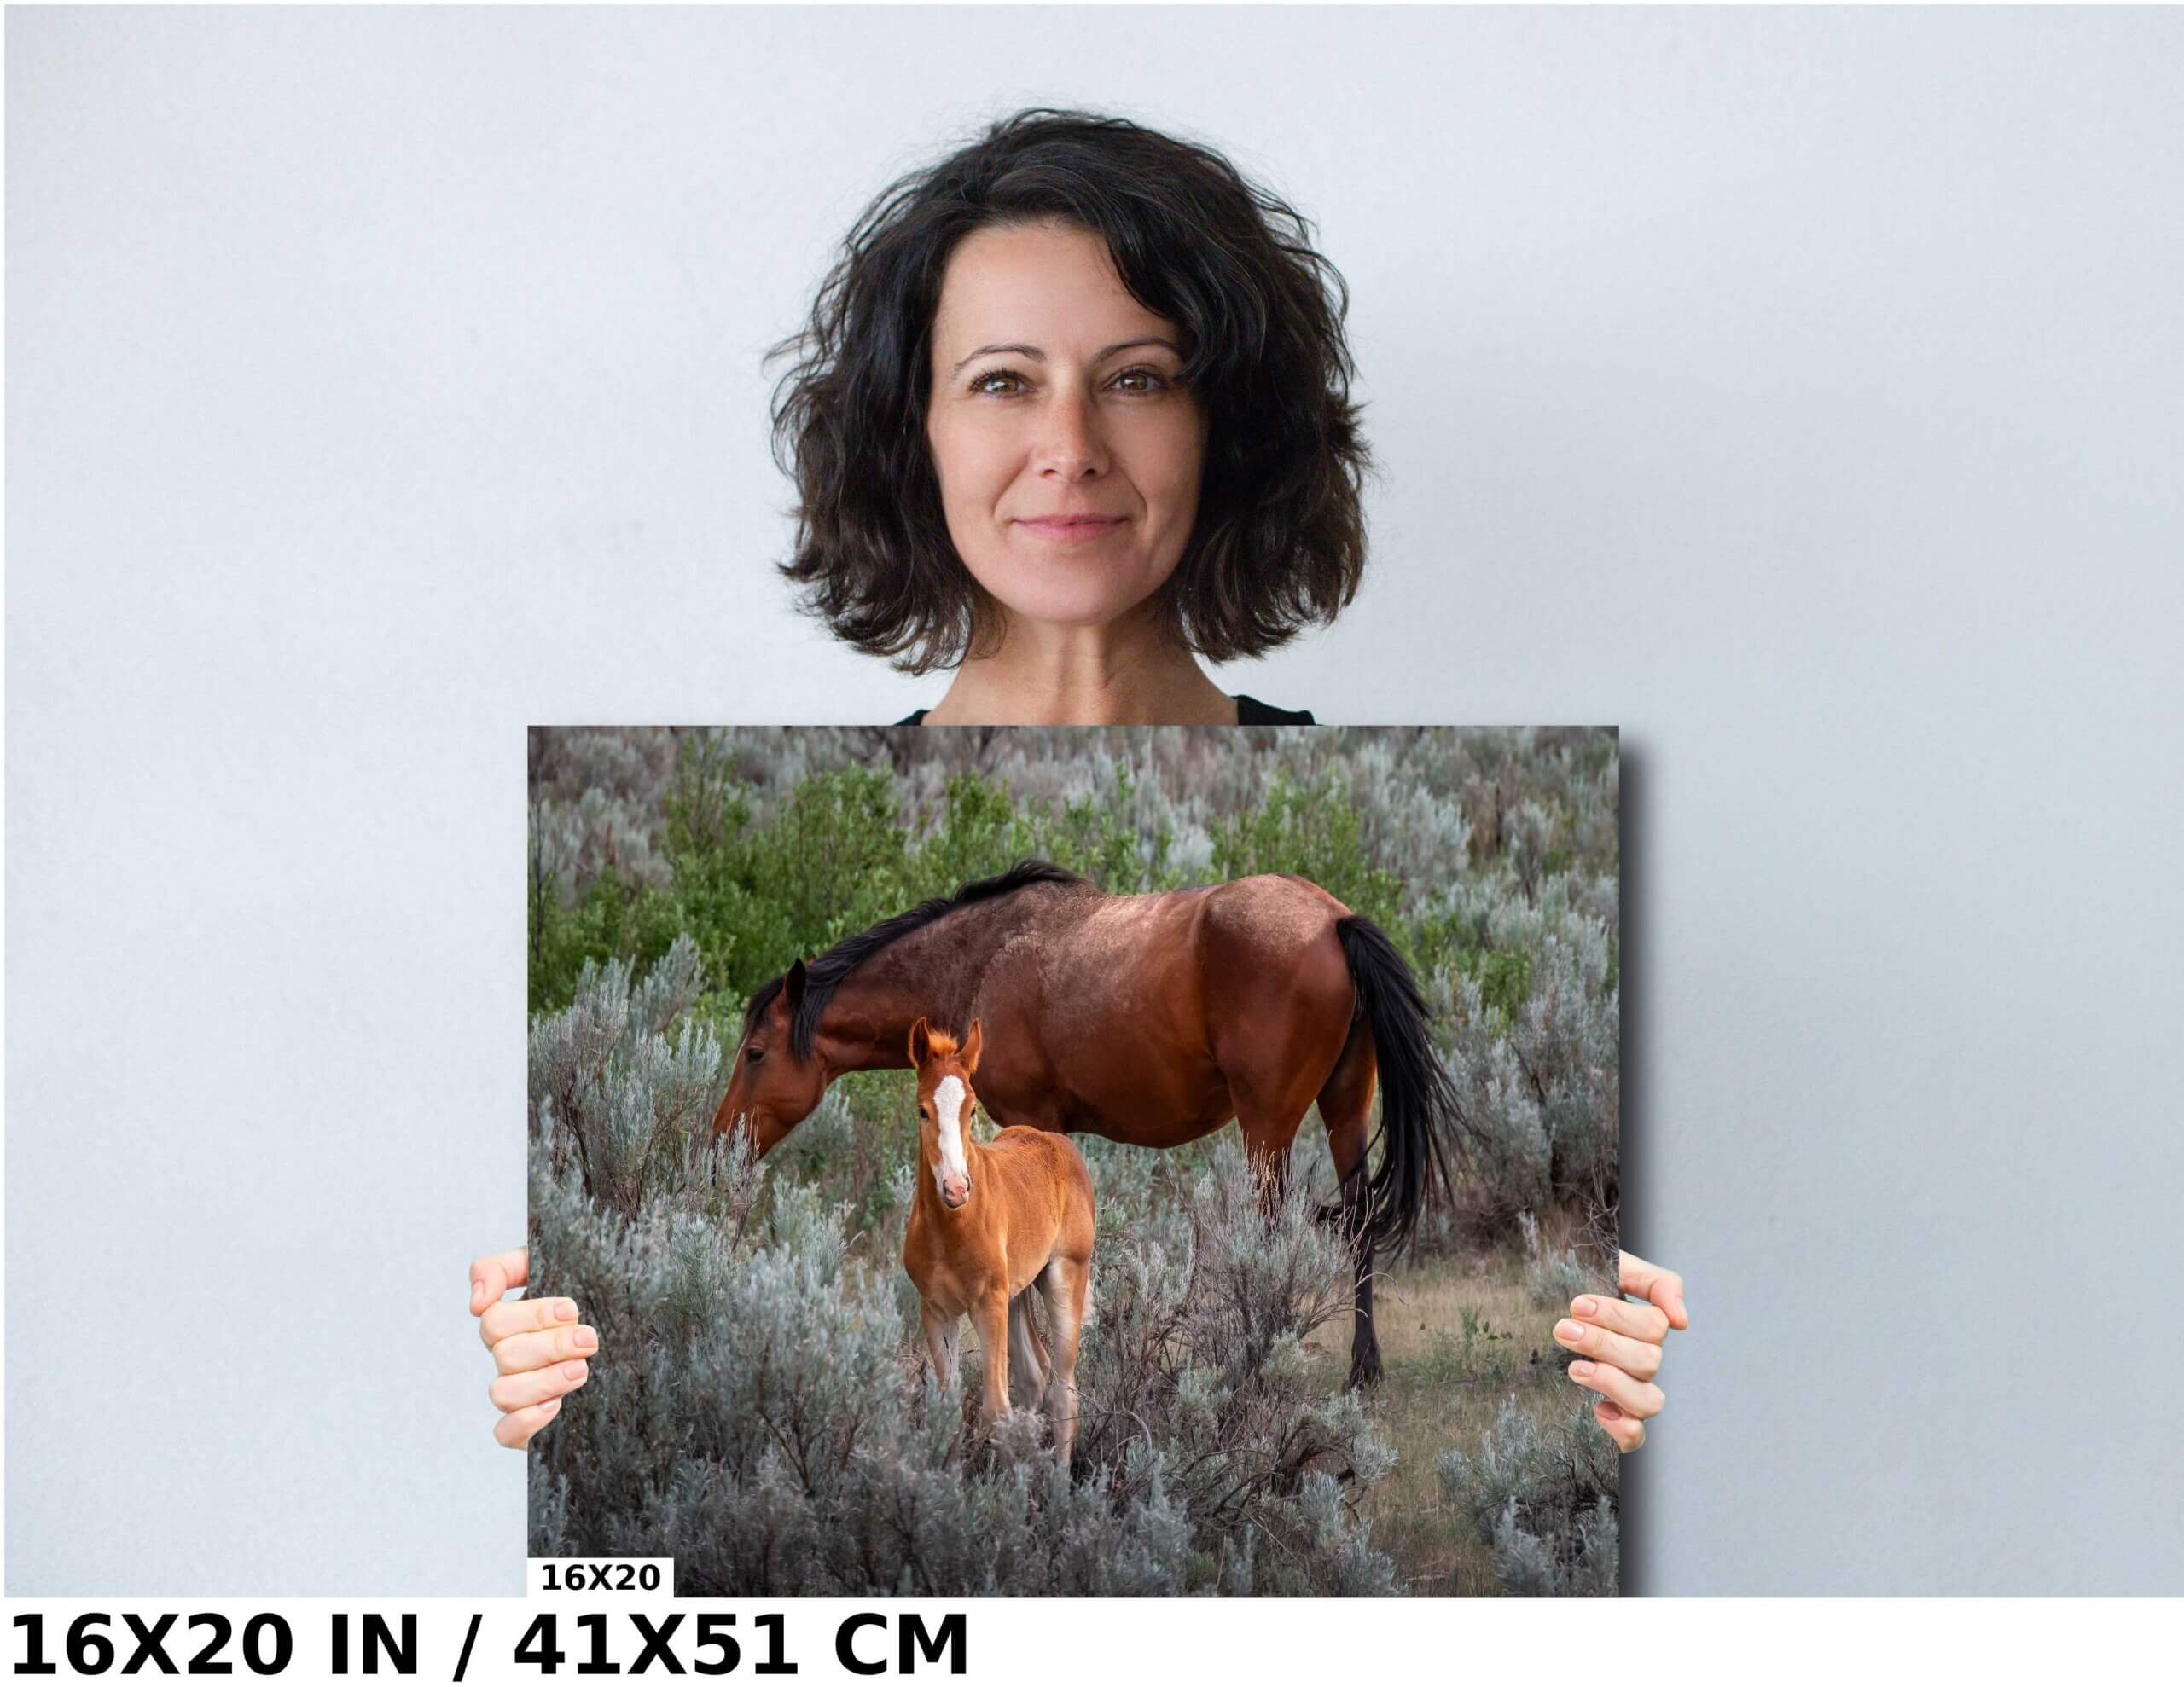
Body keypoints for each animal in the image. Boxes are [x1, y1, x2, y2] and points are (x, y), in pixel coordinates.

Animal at [710, 858, 1459, 1388]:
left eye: (755, 1052)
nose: (720, 1143)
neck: (981, 957)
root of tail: (1335, 921)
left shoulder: (1030, 1121)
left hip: (1266, 1126)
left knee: (1272, 1238)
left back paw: (1255, 1359)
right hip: (1344, 1109)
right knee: (1358, 1223)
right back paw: (1363, 1371)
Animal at [902, 1015, 1095, 1461]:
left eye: (972, 1109)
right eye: (923, 1110)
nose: (956, 1188)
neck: (949, 1230)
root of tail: (1058, 1142)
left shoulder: (987, 1304)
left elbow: (996, 1411)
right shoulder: (936, 1309)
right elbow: (948, 1412)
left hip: (1064, 1277)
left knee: (1064, 1392)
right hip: (1017, 1293)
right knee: (1035, 1375)